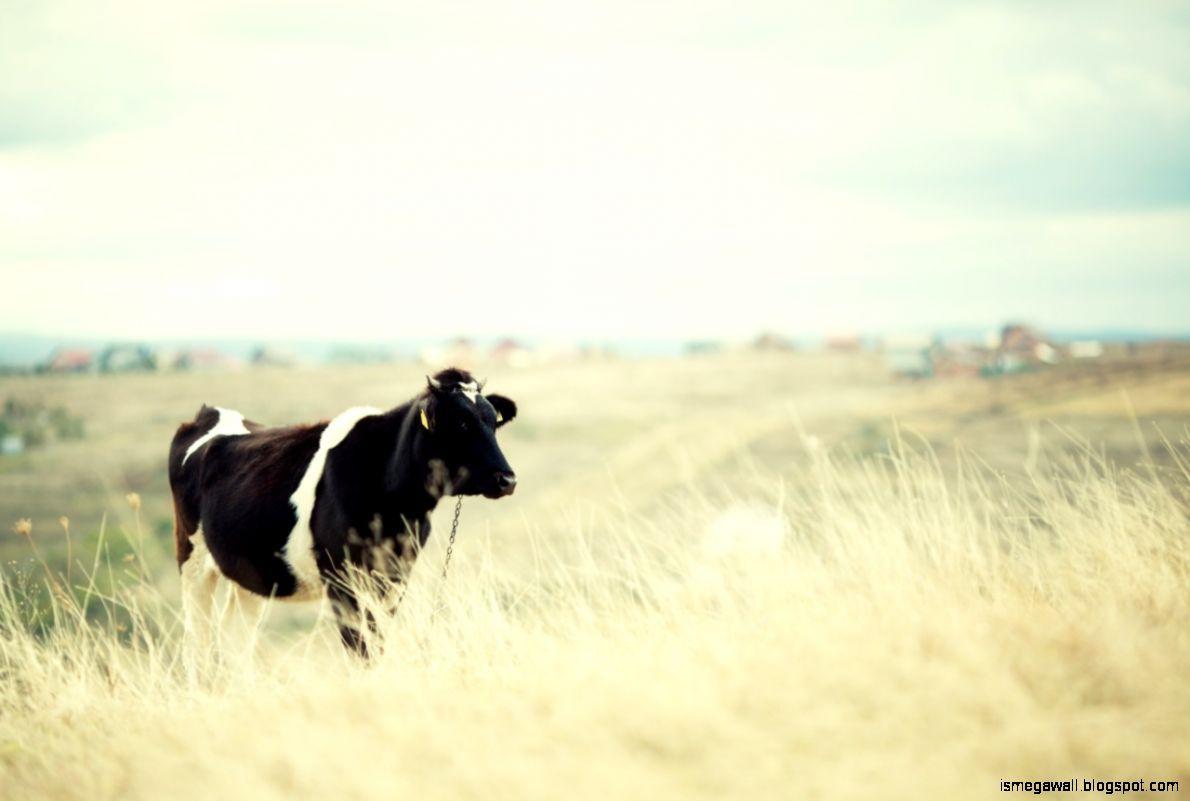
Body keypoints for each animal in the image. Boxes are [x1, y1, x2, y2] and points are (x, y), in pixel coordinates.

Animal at [168, 367, 517, 657]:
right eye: (461, 423)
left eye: (493, 422)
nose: (507, 479)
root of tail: (210, 414)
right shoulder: (341, 578)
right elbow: (359, 647)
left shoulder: (395, 576)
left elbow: (376, 642)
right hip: (193, 562)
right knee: (197, 641)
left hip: (251, 574)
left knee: (235, 637)